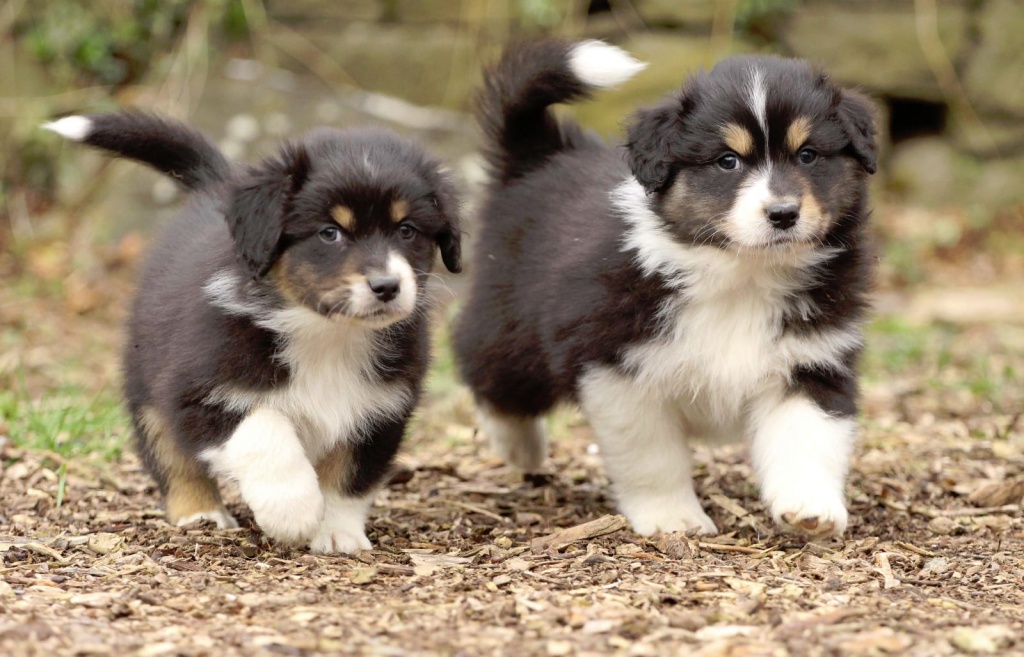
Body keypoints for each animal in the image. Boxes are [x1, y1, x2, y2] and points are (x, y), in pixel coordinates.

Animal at [46, 112, 462, 552]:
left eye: (407, 230)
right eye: (329, 232)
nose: (387, 287)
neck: (326, 333)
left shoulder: (381, 410)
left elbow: (350, 476)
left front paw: (337, 533)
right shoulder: (198, 390)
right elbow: (264, 429)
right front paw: (292, 509)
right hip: (147, 388)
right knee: (171, 458)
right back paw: (201, 514)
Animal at [452, 38, 876, 536]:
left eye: (808, 154)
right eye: (727, 161)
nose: (783, 213)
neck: (742, 274)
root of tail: (542, 155)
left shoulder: (812, 358)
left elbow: (806, 436)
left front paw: (810, 508)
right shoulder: (618, 367)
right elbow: (652, 457)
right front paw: (674, 518)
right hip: (512, 322)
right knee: (486, 370)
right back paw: (520, 447)